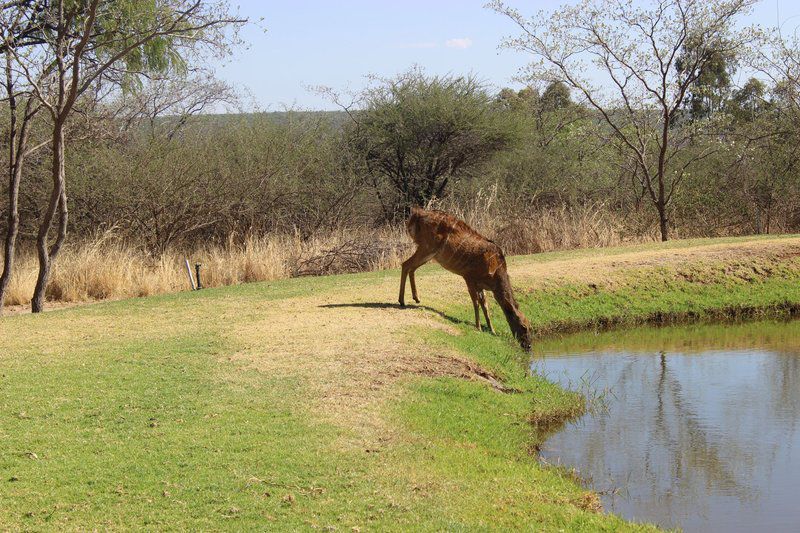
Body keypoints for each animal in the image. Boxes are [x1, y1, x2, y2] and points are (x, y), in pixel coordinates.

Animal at [398, 206, 536, 352]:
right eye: (523, 327)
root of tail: (415, 214)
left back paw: (416, 298)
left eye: (530, 327)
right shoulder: (469, 277)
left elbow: (485, 304)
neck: (495, 275)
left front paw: (492, 330)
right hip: (427, 247)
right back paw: (402, 301)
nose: (529, 346)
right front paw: (478, 327)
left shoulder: (481, 285)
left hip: (428, 253)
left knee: (411, 267)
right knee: (405, 264)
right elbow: (475, 302)